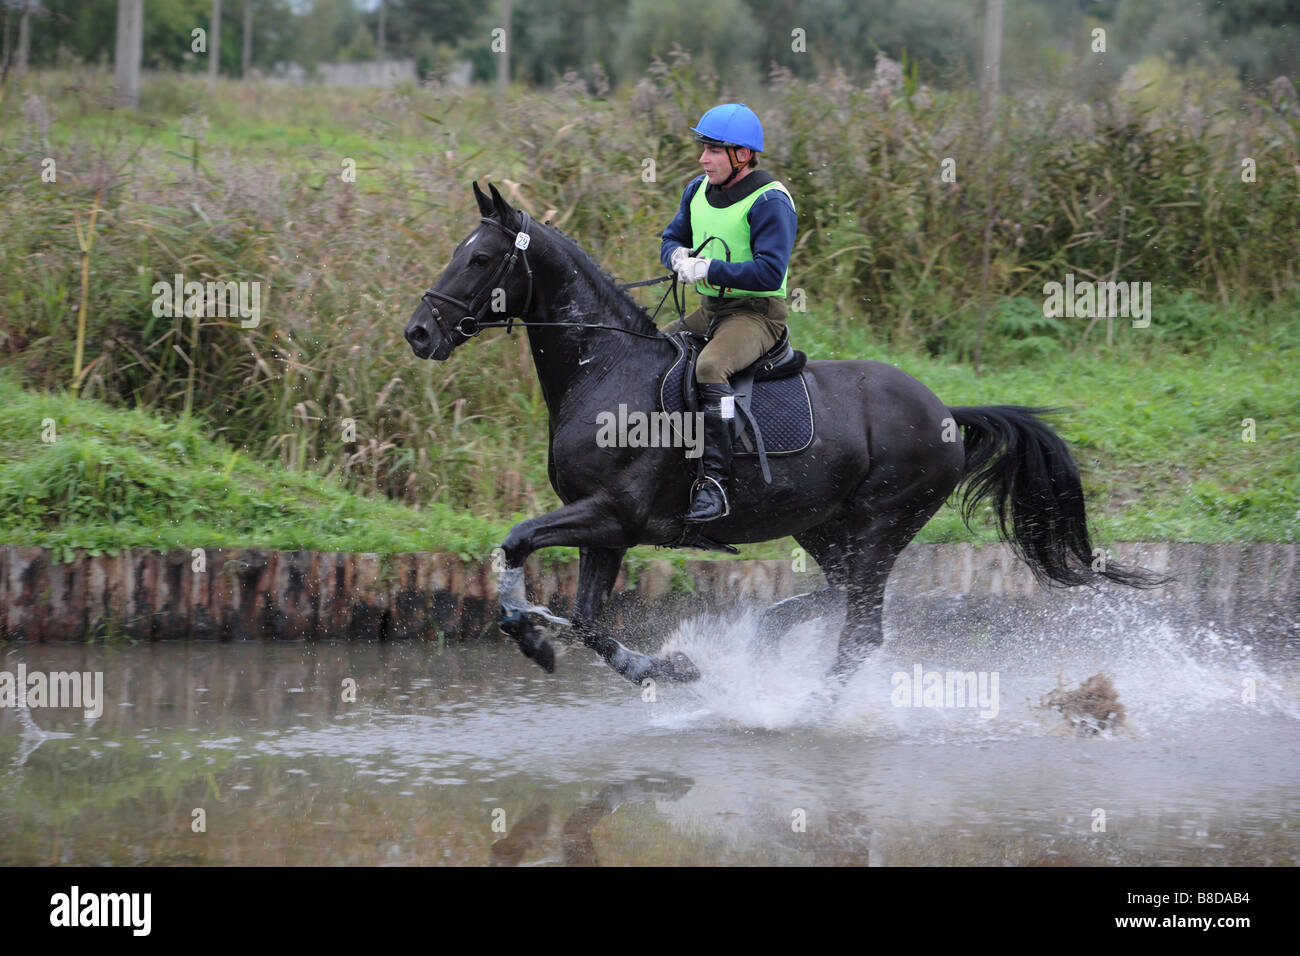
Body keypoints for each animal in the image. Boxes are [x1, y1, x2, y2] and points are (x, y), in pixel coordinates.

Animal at [405, 180, 1159, 686]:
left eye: (480, 260)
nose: (418, 333)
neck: (606, 366)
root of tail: (946, 411)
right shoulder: (607, 529)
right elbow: (588, 619)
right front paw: (662, 667)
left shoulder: (611, 514)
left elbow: (516, 540)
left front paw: (530, 635)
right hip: (822, 525)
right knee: (843, 593)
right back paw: (768, 636)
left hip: (882, 522)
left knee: (862, 628)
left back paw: (809, 710)